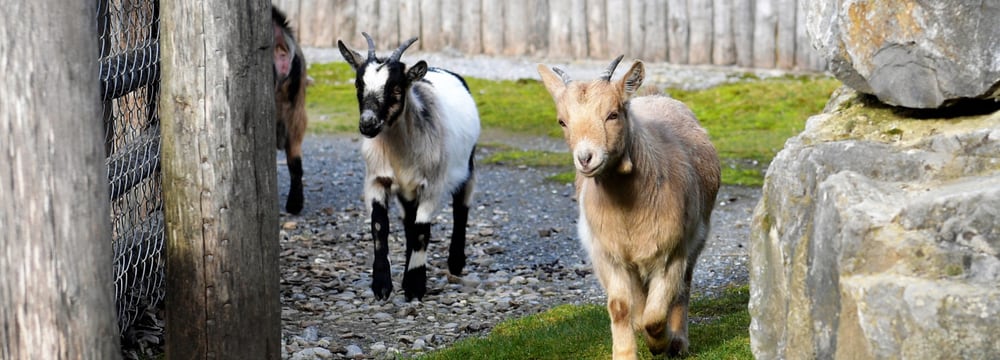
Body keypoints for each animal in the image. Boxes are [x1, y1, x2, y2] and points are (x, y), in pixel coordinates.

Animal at [336, 33, 480, 300]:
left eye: (395, 87)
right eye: (358, 85)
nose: (368, 124)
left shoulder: (432, 184)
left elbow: (422, 230)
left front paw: (414, 285)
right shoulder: (377, 179)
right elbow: (380, 226)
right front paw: (382, 285)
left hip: (467, 166)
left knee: (461, 207)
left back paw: (455, 262)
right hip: (406, 190)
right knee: (408, 223)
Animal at [540, 56, 720, 358]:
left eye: (613, 114)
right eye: (562, 121)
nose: (586, 158)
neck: (629, 209)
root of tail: (654, 95)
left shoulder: (671, 252)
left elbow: (656, 315)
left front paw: (661, 343)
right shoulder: (608, 254)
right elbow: (620, 307)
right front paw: (625, 352)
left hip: (696, 236)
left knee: (683, 287)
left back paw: (678, 341)